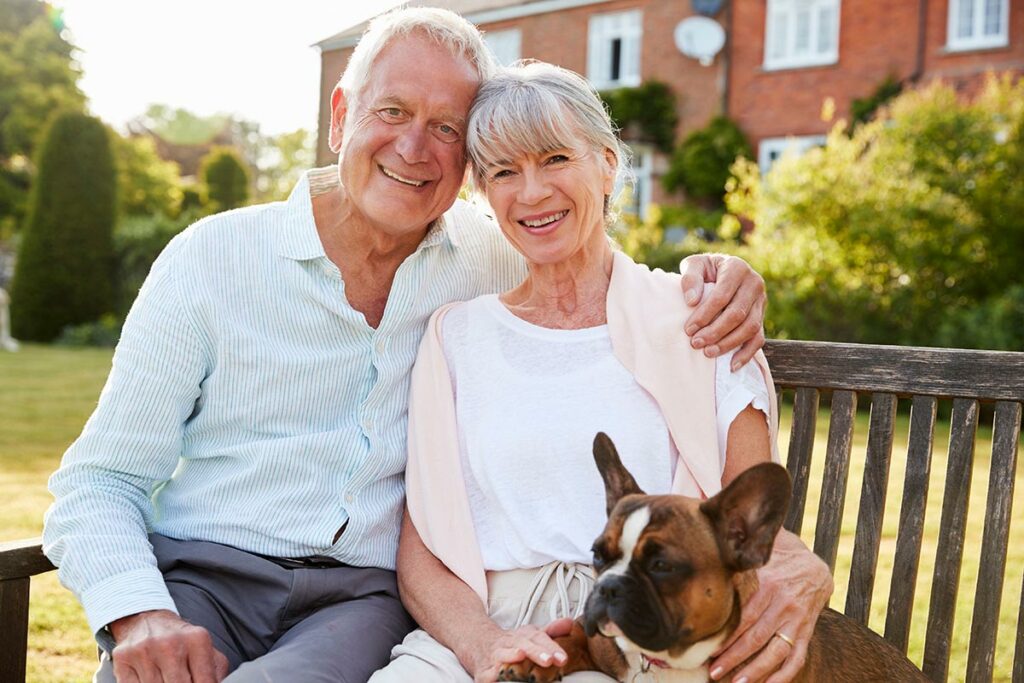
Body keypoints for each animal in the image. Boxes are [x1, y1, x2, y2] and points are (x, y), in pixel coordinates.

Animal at [495, 436, 929, 679]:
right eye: (598, 555)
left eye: (662, 566)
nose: (608, 588)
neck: (672, 664)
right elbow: (568, 639)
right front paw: (533, 663)